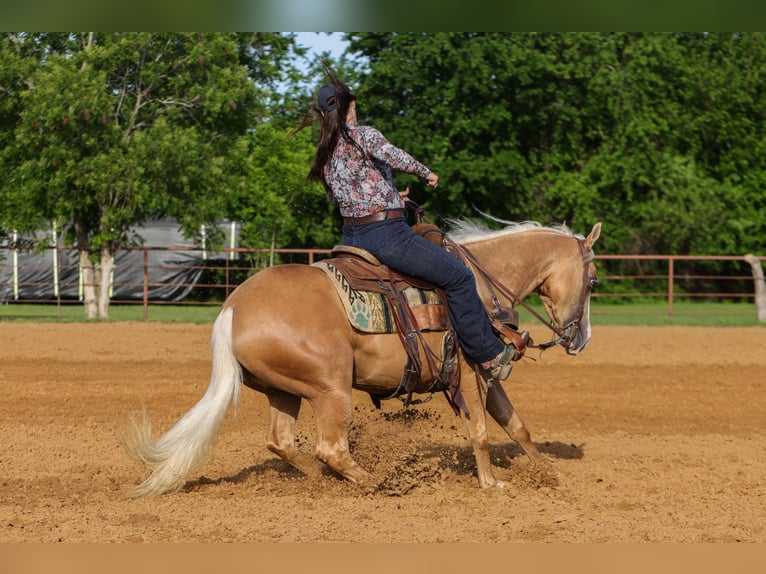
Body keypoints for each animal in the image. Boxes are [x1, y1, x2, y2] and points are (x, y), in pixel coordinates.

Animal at [122, 218, 602, 497]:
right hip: (330, 389)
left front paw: (551, 476)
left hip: (285, 391)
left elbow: (517, 426)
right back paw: (377, 482)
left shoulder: (489, 375)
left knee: (283, 442)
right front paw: (491, 483)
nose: (581, 339)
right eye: (594, 280)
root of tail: (233, 308)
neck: (483, 285)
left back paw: (323, 482)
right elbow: (482, 431)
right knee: (331, 448)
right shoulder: (472, 373)